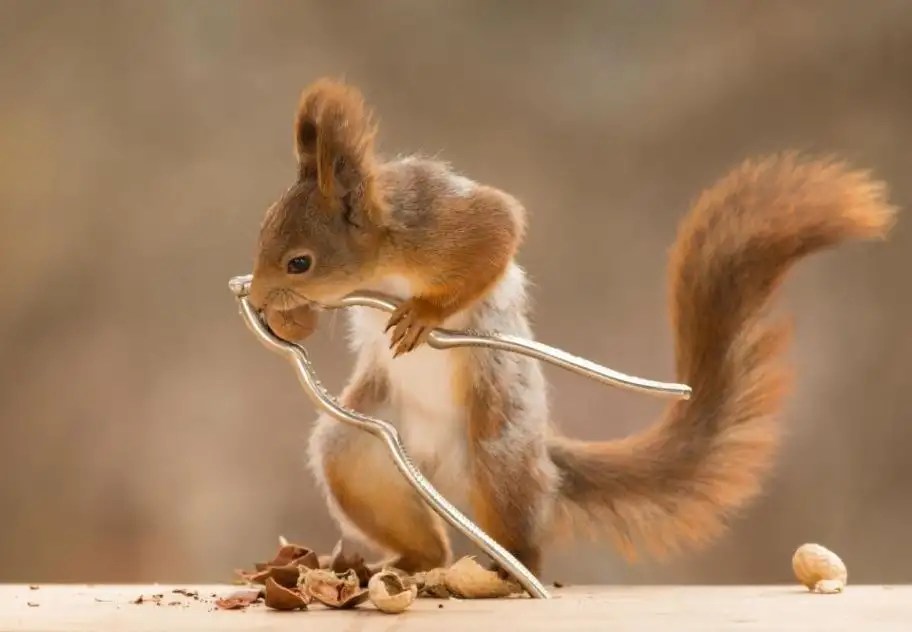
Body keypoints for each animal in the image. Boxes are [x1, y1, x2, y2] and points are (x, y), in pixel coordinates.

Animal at [248, 78, 897, 578]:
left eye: (300, 262)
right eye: (262, 231)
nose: (253, 296)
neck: (384, 256)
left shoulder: (439, 221)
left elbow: (500, 228)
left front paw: (423, 315)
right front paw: (285, 321)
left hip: (498, 450)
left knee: (522, 540)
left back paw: (504, 576)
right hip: (359, 454)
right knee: (428, 543)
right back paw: (404, 565)